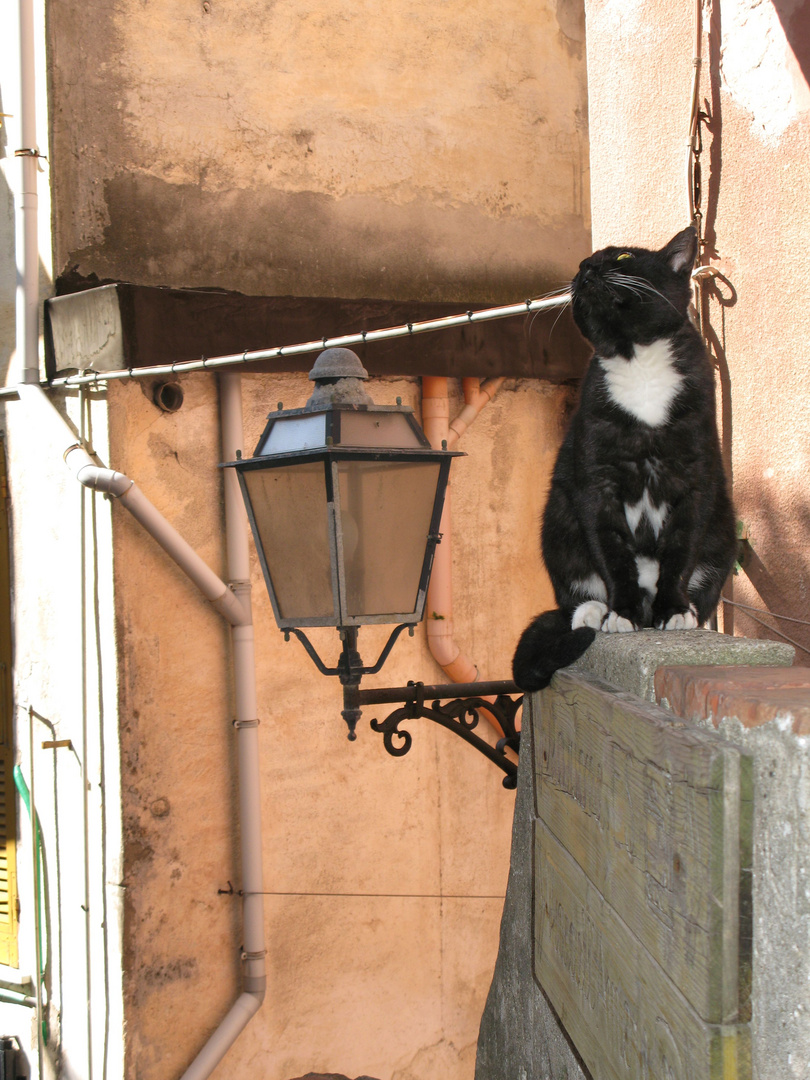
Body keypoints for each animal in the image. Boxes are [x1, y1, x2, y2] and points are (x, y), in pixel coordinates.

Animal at [516, 226, 738, 691]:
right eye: (583, 262)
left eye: (621, 257)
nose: (585, 268)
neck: (638, 361)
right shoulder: (595, 482)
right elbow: (611, 551)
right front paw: (622, 613)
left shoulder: (696, 479)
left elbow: (681, 548)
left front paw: (675, 610)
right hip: (556, 522)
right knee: (572, 591)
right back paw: (594, 613)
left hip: (724, 525)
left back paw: (683, 612)